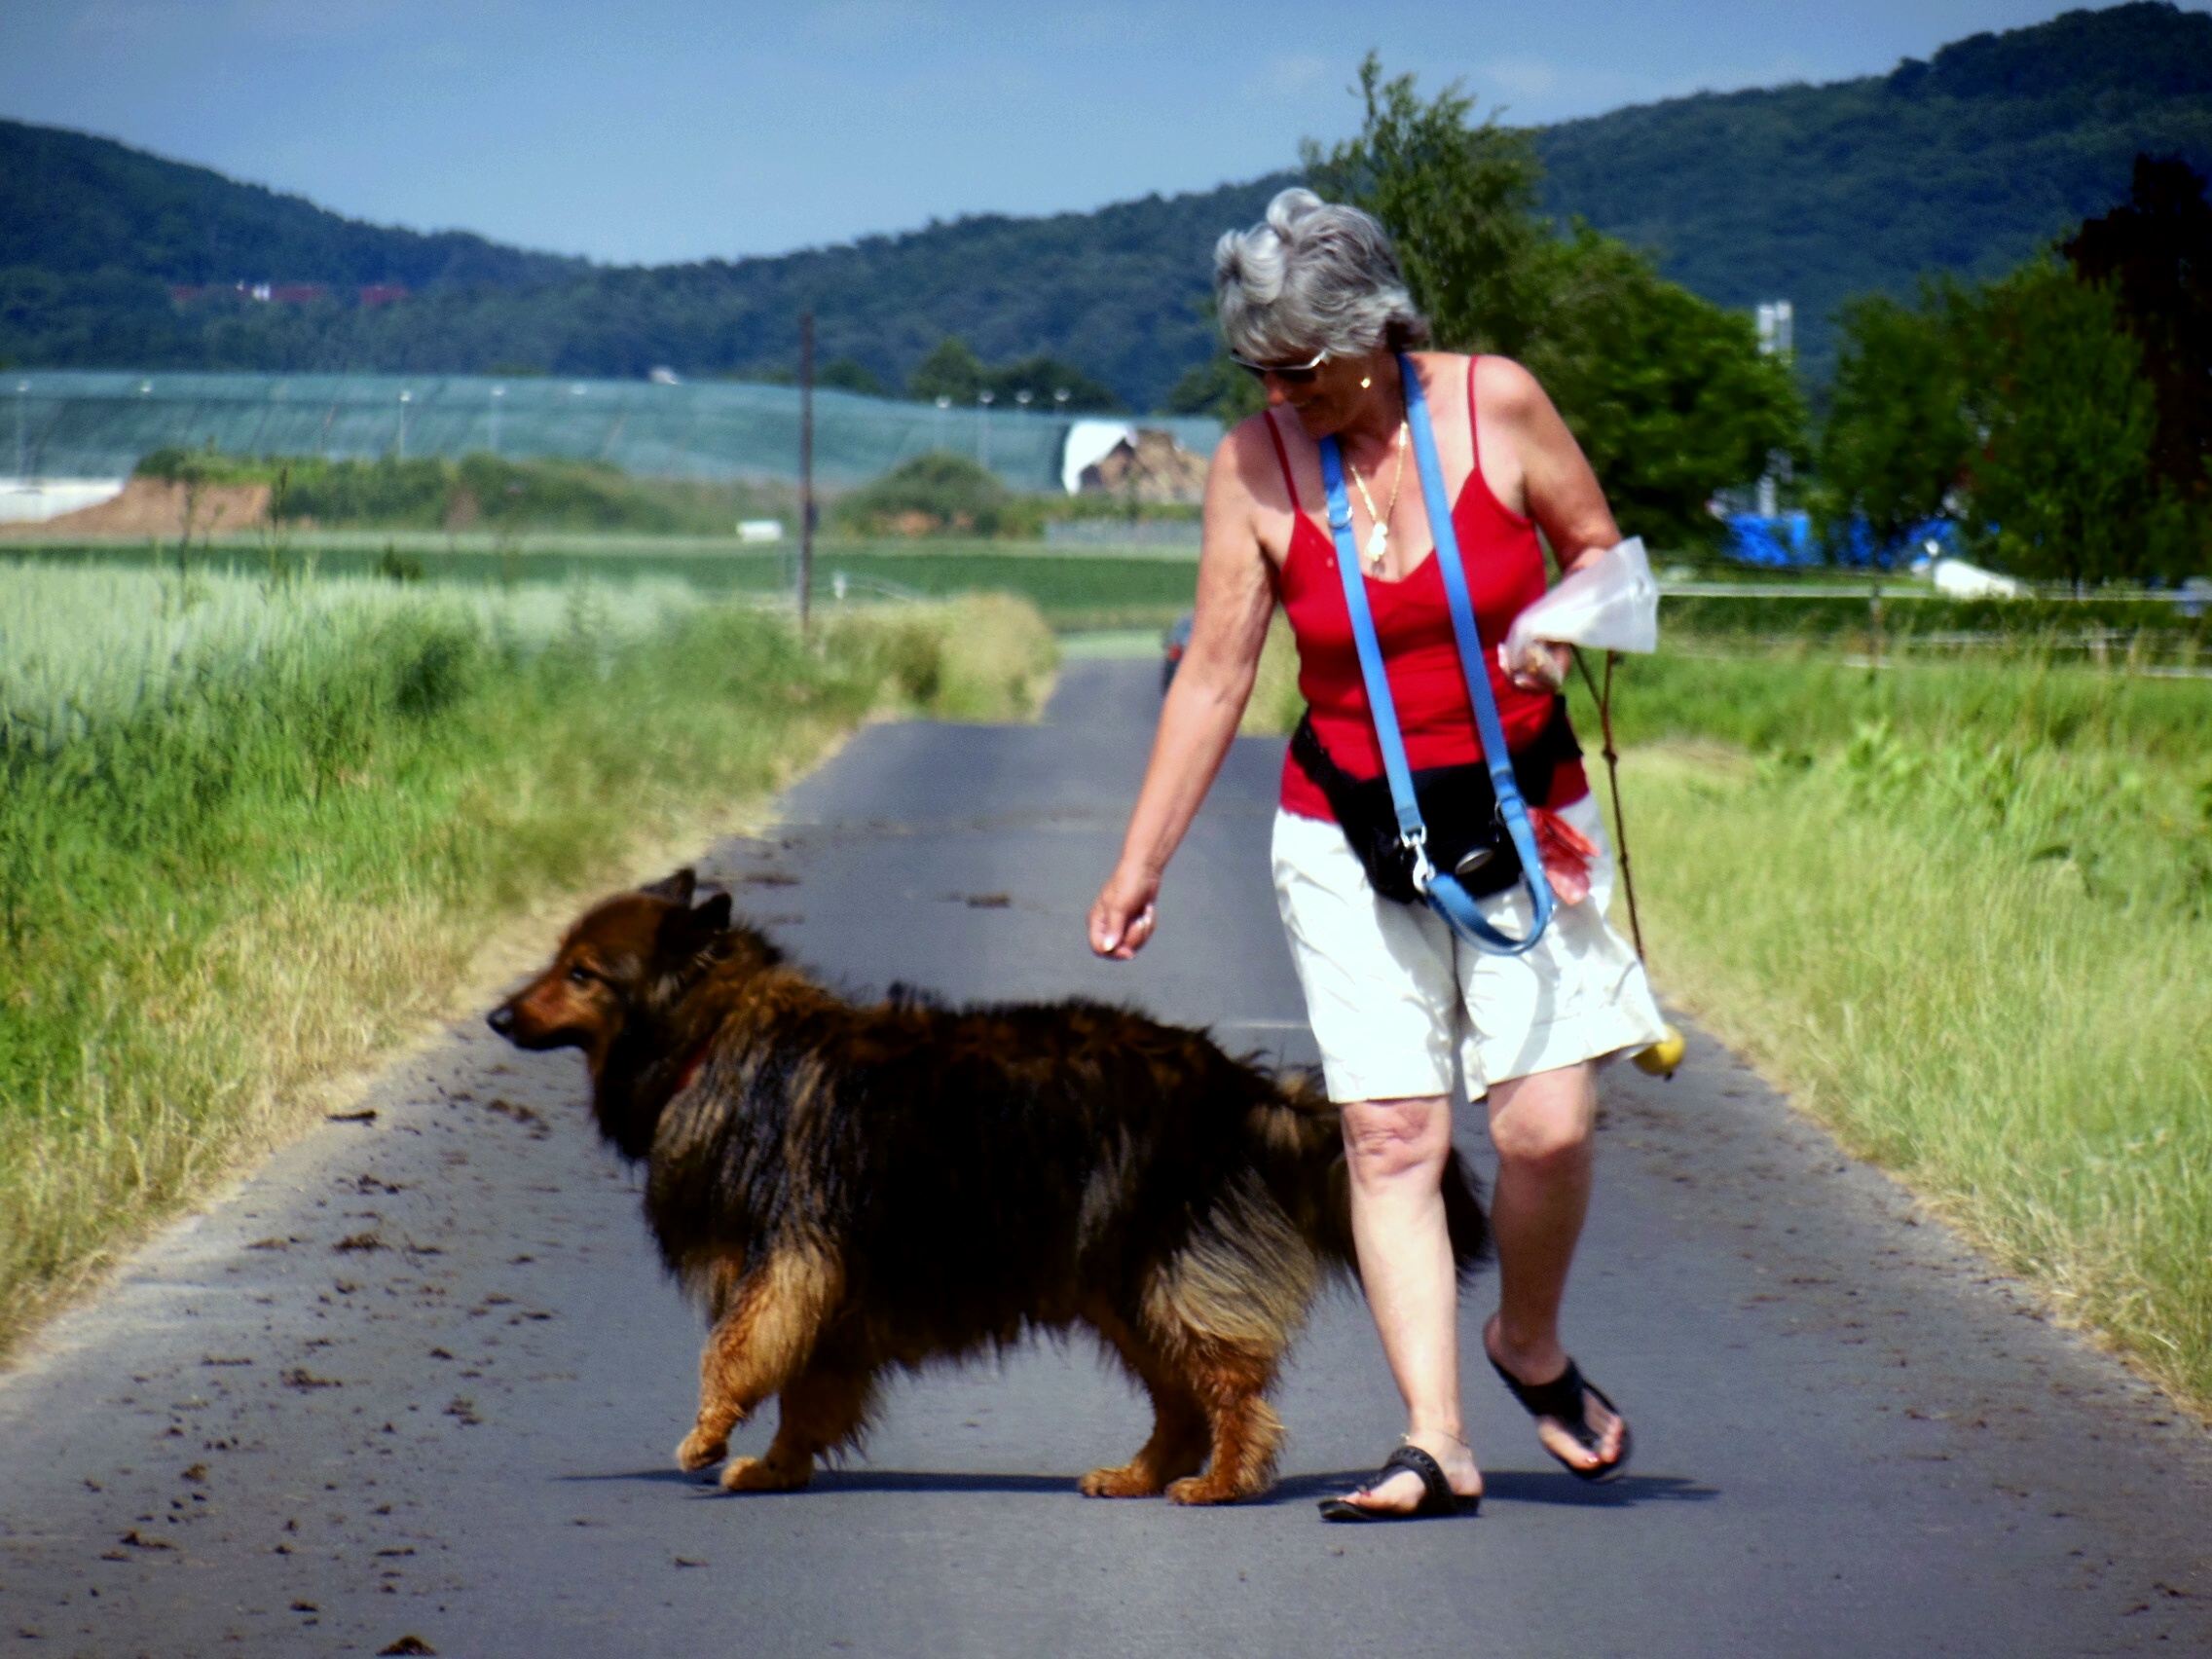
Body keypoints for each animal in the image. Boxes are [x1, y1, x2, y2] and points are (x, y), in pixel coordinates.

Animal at [493, 871, 1494, 1503]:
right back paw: (1141, 1475)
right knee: (1181, 1396)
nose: (499, 1014)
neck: (713, 1039)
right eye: (557, 958)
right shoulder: (821, 1285)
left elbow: (734, 1354)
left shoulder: (786, 1261)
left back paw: (1221, 1480)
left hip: (1157, 1273)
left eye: (581, 972)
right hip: (1118, 1289)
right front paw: (776, 1467)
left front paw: (708, 1436)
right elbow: (807, 1391)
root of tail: (1230, 1079)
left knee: (1229, 1382)